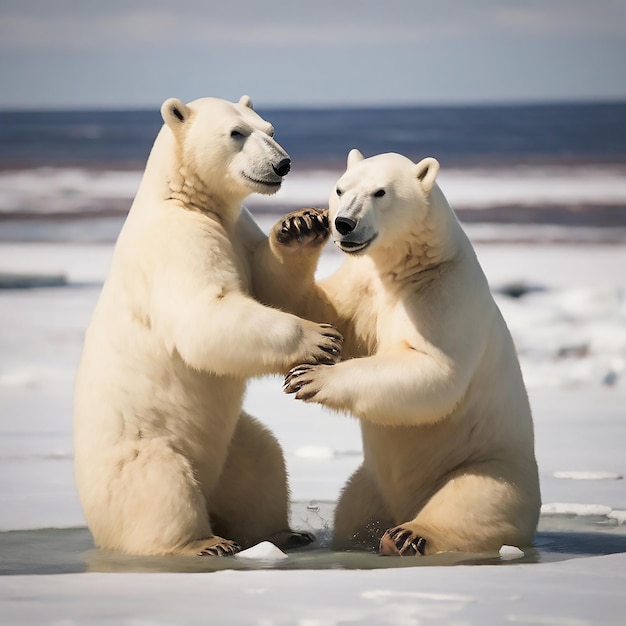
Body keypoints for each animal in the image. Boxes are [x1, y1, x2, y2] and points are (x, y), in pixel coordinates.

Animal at [73, 95, 342, 552]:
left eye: (269, 128)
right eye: (236, 133)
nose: (282, 164)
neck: (182, 196)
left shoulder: (237, 230)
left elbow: (270, 284)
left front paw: (300, 225)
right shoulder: (178, 242)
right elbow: (205, 315)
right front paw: (320, 338)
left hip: (232, 442)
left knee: (261, 462)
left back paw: (285, 533)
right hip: (142, 446)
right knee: (160, 485)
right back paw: (203, 543)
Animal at [251, 149, 540, 552]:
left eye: (380, 192)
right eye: (340, 188)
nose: (343, 223)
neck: (407, 269)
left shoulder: (444, 295)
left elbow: (432, 370)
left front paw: (310, 377)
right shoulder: (363, 287)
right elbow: (310, 306)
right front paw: (299, 226)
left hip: (488, 466)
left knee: (473, 502)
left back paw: (408, 536)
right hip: (368, 483)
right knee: (352, 512)